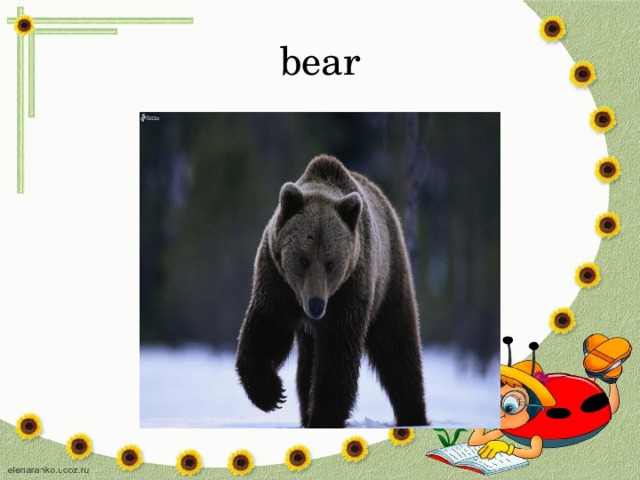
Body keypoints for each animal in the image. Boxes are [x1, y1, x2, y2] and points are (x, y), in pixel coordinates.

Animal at [235, 154, 428, 428]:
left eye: (330, 262)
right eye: (303, 259)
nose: (316, 305)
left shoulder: (349, 290)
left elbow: (337, 356)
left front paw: (324, 417)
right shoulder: (276, 280)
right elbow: (267, 328)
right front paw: (271, 393)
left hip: (390, 280)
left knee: (398, 349)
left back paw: (414, 415)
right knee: (307, 367)